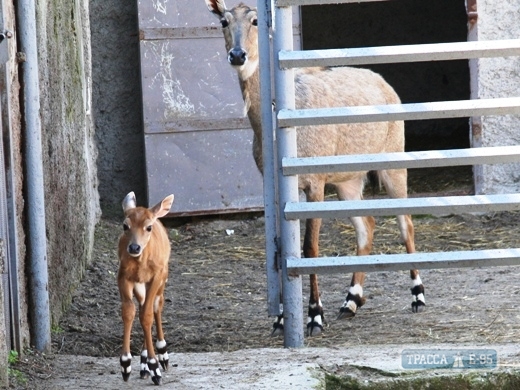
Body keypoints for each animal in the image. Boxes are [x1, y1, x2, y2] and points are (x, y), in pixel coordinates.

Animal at [118, 190, 175, 386]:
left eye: (148, 227)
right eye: (125, 225)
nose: (134, 247)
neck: (140, 265)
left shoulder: (157, 276)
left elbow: (148, 315)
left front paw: (155, 366)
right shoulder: (124, 276)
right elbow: (130, 312)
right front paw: (125, 364)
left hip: (163, 277)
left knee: (157, 305)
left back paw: (162, 355)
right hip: (140, 286)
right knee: (143, 306)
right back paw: (143, 366)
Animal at [205, 0, 424, 338]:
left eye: (255, 20)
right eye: (223, 21)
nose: (238, 55)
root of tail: (384, 84)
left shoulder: (315, 183)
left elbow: (310, 248)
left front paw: (314, 316)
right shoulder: (279, 190)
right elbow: (286, 250)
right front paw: (282, 320)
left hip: (392, 162)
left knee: (406, 222)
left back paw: (417, 295)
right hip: (348, 182)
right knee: (367, 225)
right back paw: (351, 301)